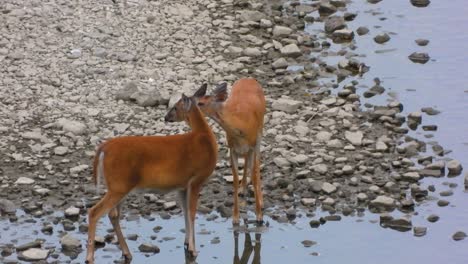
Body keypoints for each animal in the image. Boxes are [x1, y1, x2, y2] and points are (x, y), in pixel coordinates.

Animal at [85, 85, 218, 262]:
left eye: (175, 107)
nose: (166, 117)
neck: (204, 138)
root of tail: (103, 147)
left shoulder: (183, 186)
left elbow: (185, 213)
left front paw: (187, 245)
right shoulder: (197, 179)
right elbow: (192, 213)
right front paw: (193, 250)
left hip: (119, 186)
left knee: (113, 214)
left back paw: (126, 252)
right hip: (119, 185)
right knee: (95, 212)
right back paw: (89, 257)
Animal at [191, 78, 266, 225]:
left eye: (201, 102)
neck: (241, 126)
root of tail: (249, 78)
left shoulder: (253, 144)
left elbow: (254, 174)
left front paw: (259, 215)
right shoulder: (232, 148)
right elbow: (235, 179)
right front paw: (235, 218)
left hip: (260, 131)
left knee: (256, 164)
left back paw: (260, 200)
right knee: (247, 160)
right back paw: (243, 189)